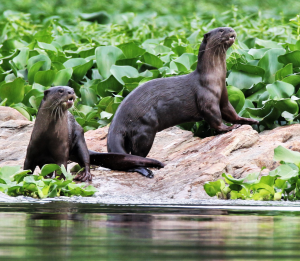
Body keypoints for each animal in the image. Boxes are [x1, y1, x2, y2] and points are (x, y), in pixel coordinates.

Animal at [23, 86, 164, 180]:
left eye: (71, 89)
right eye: (60, 90)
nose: (71, 92)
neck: (48, 136)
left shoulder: (61, 151)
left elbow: (61, 168)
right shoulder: (31, 151)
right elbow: (26, 169)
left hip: (79, 138)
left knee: (86, 159)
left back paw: (85, 175)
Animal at [107, 26, 258, 177]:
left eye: (228, 27)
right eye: (221, 30)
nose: (231, 30)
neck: (214, 78)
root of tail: (116, 122)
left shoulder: (223, 96)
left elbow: (230, 112)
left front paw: (249, 120)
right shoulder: (207, 99)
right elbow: (215, 118)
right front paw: (229, 128)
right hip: (144, 129)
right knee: (136, 154)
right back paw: (147, 170)